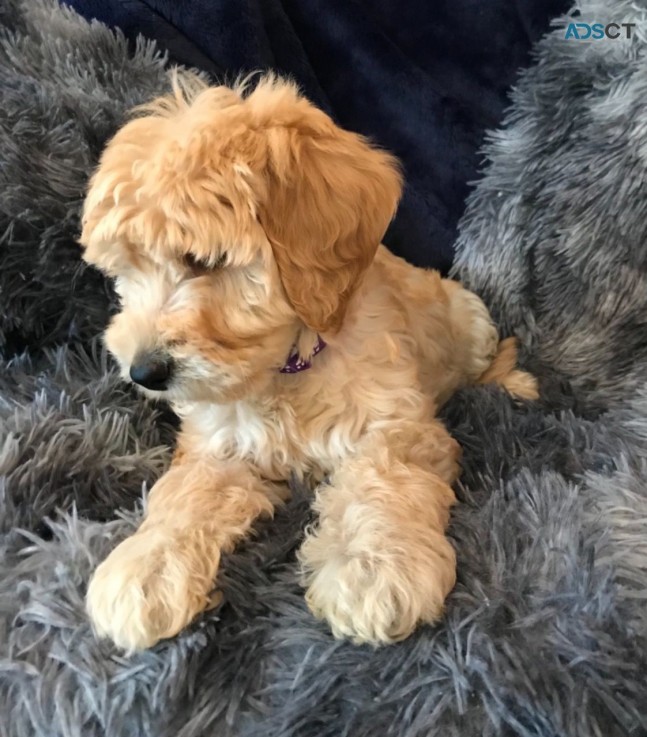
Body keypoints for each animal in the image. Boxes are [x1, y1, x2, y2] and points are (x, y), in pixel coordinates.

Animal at [79, 73, 536, 648]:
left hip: (470, 321)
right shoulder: (217, 444)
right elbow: (184, 493)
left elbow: (382, 477)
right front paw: (146, 562)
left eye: (204, 260)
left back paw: (512, 383)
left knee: (484, 363)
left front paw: (373, 566)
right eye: (123, 273)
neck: (287, 369)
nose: (144, 372)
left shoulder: (397, 422)